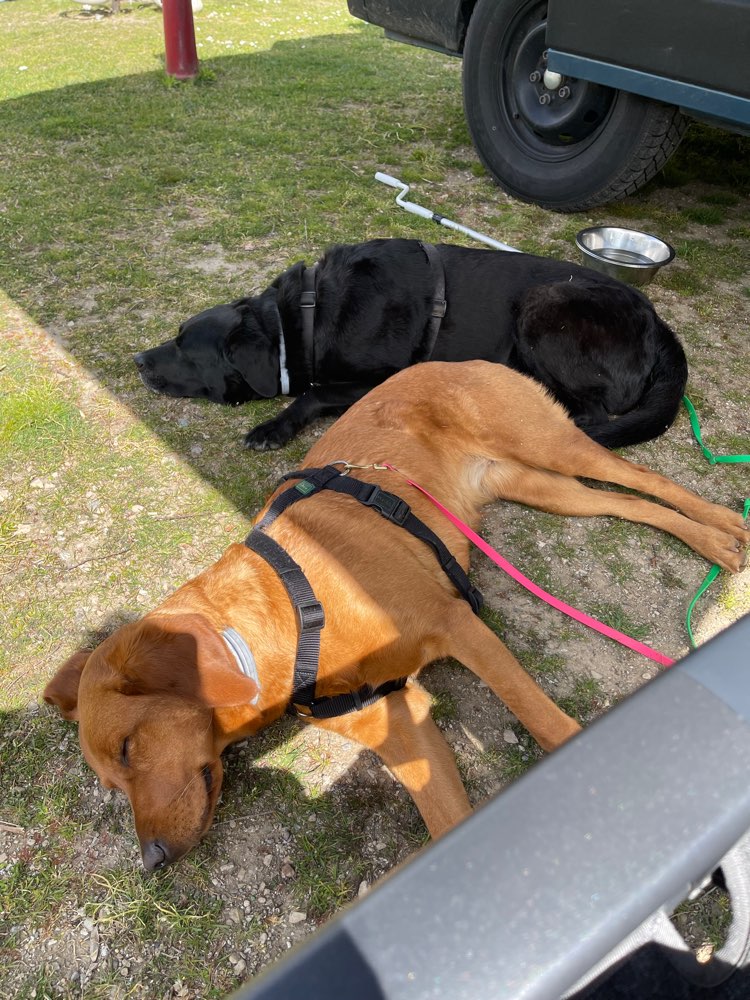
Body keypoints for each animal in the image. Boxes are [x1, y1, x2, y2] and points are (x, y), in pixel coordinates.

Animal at [44, 362, 748, 868]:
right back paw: (711, 540)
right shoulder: (400, 723)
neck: (291, 619)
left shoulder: (459, 625)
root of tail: (455, 357)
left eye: (129, 747)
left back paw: (723, 525)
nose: (152, 862)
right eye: (110, 785)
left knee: (646, 480)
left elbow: (545, 723)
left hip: (552, 445)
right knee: (626, 505)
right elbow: (447, 821)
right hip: (538, 486)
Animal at [135, 238, 688, 450]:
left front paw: (273, 427)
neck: (302, 320)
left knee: (591, 415)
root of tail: (658, 323)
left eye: (185, 348)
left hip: (543, 303)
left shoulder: (380, 379)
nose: (137, 359)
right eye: (175, 335)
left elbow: (313, 393)